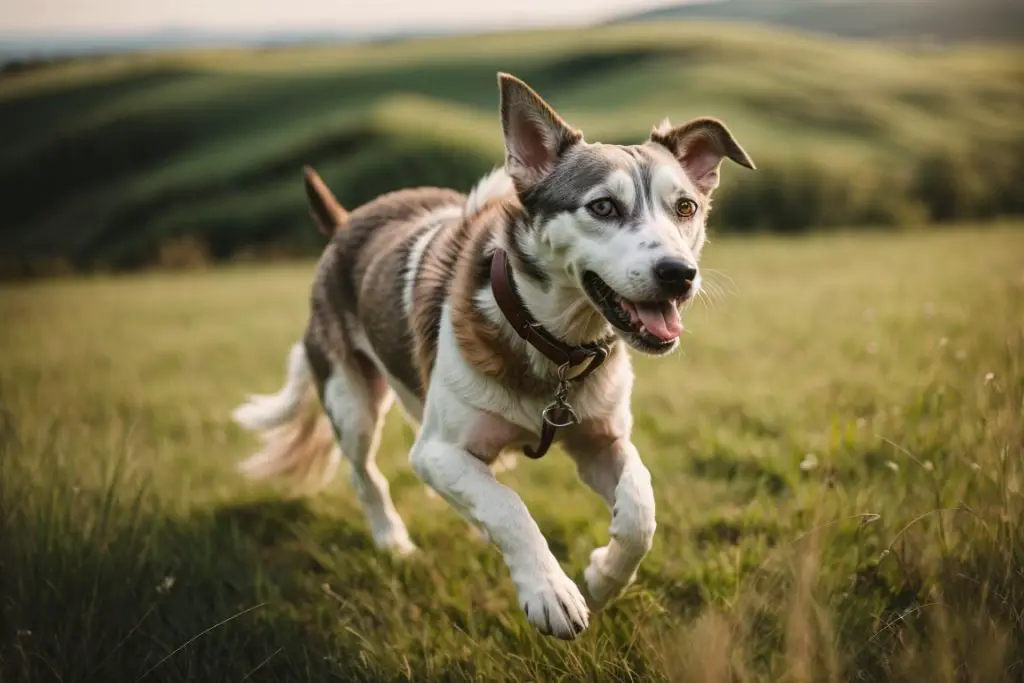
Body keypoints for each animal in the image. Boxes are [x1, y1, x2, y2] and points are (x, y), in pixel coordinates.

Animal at [232, 73, 753, 643]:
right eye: (602, 208)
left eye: (685, 208)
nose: (679, 274)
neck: (552, 343)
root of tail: (348, 220)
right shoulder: (435, 450)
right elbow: (507, 507)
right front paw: (550, 592)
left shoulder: (600, 440)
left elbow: (641, 505)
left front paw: (603, 576)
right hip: (351, 402)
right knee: (366, 473)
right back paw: (393, 540)